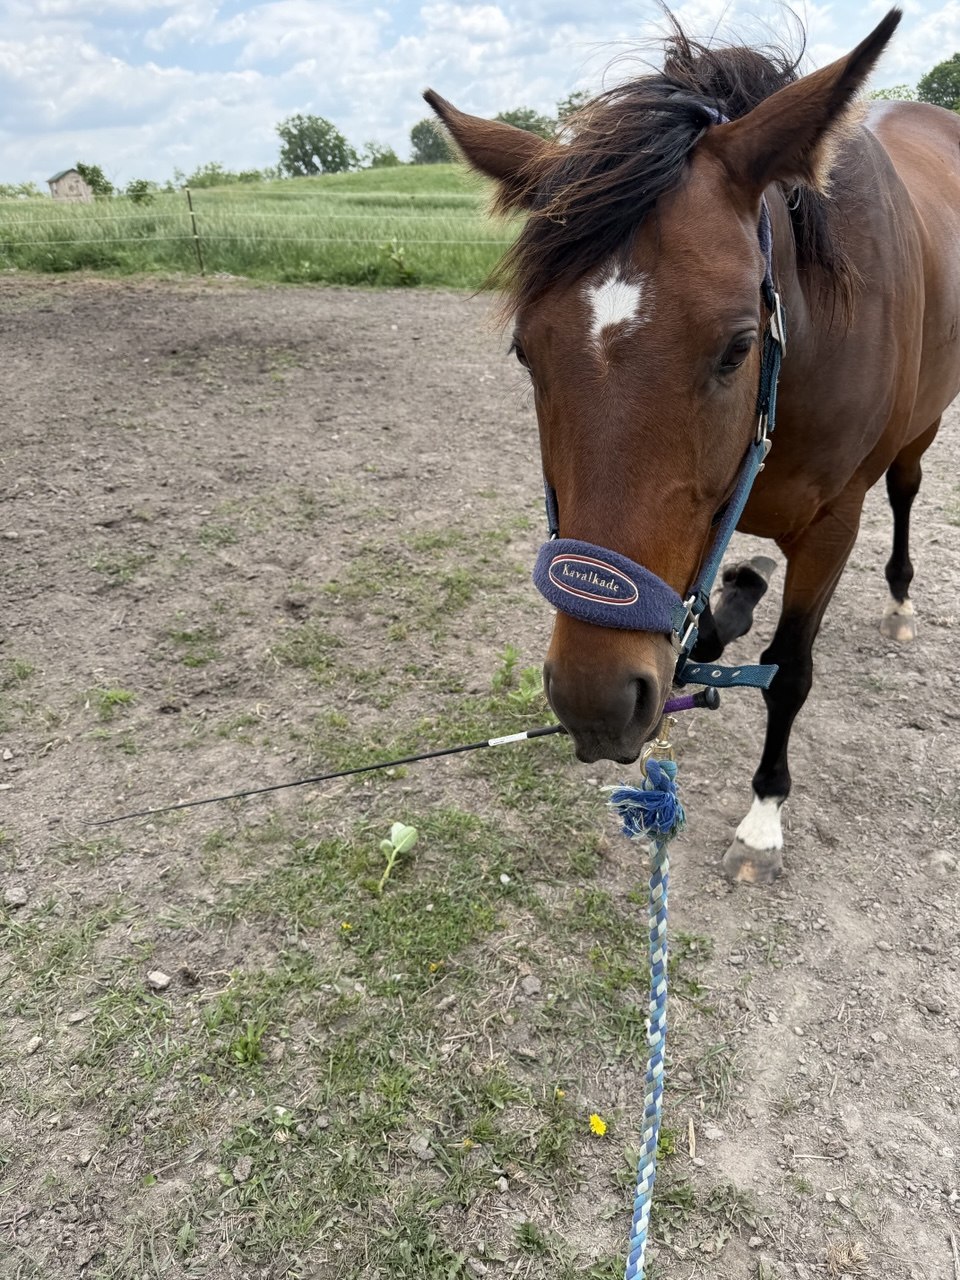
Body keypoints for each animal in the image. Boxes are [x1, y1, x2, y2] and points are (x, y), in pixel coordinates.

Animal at [424, 8, 960, 884]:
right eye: (525, 352)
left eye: (738, 347)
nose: (597, 700)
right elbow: (704, 624)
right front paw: (733, 599)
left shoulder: (833, 525)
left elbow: (790, 671)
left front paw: (764, 817)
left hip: (922, 428)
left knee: (908, 489)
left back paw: (901, 601)